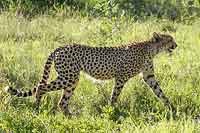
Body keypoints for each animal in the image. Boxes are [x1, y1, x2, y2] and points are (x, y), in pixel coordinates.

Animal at [5, 32, 177, 115]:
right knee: (41, 86)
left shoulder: (149, 77)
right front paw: (112, 111)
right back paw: (37, 107)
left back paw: (71, 117)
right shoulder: (121, 78)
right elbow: (115, 96)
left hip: (71, 79)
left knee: (62, 101)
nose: (176, 45)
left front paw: (172, 108)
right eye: (169, 40)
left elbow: (160, 92)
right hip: (68, 77)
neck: (151, 49)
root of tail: (60, 47)